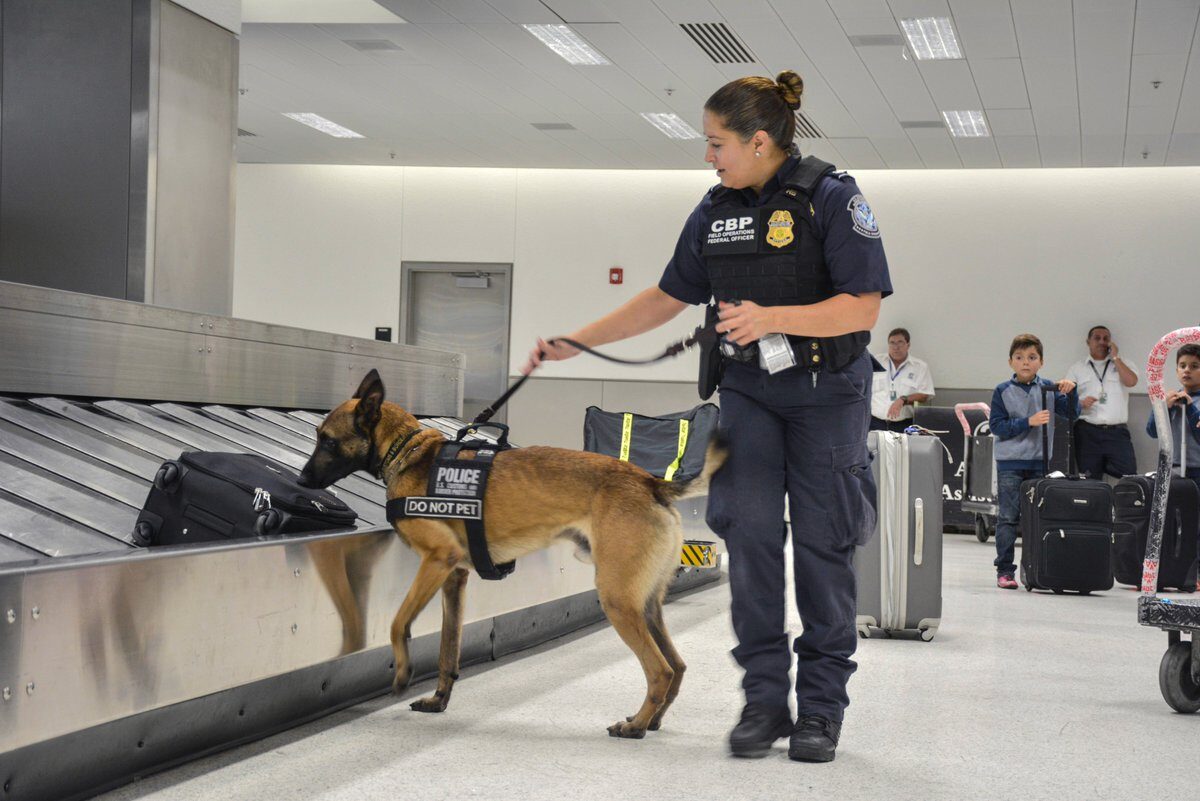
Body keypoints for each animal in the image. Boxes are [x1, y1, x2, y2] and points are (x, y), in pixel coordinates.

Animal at [297, 369, 729, 738]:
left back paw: (636, 725)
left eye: (328, 440)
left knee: (659, 670)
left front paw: (402, 673)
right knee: (677, 665)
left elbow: (397, 622)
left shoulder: (437, 559)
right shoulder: (453, 577)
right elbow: (448, 649)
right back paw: (652, 720)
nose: (301, 480)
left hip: (617, 600)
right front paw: (439, 699)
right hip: (646, 604)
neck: (407, 452)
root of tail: (649, 483)